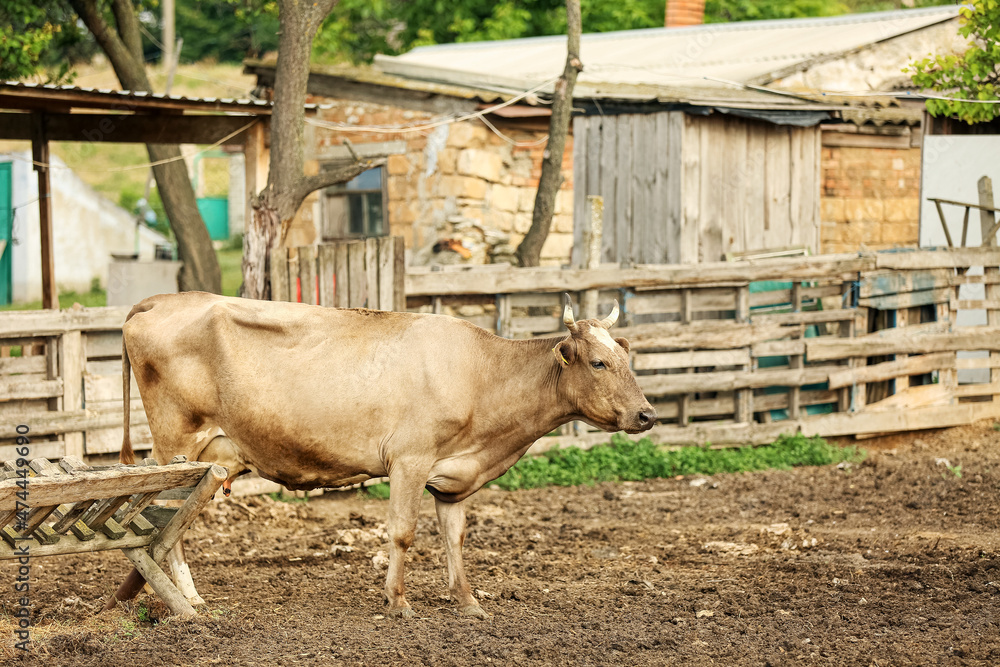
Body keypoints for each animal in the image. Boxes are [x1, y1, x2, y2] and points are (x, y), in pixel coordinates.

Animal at [117, 294, 656, 620]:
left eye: (628, 358)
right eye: (598, 362)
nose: (647, 414)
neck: (482, 375)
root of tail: (160, 300)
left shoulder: (455, 477)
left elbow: (455, 538)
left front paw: (468, 602)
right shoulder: (409, 460)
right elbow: (402, 532)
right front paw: (397, 603)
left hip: (211, 457)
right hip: (177, 445)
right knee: (166, 522)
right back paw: (185, 599)